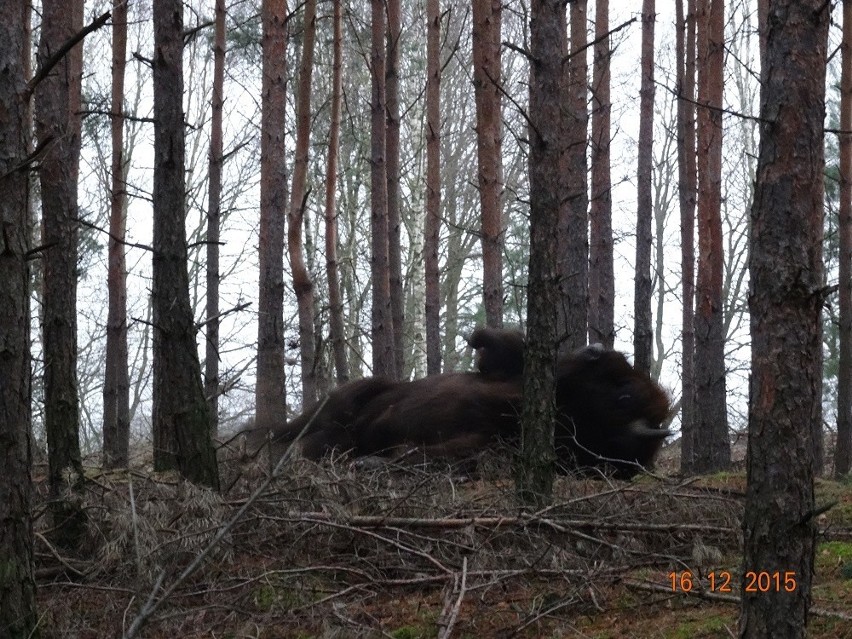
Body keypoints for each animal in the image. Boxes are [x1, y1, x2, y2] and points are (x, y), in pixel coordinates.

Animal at [260, 328, 672, 478]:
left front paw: (372, 463)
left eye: (624, 396)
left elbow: (420, 456)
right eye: (620, 382)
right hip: (348, 397)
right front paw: (475, 337)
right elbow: (507, 342)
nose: (595, 350)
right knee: (292, 428)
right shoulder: (508, 370)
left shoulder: (486, 448)